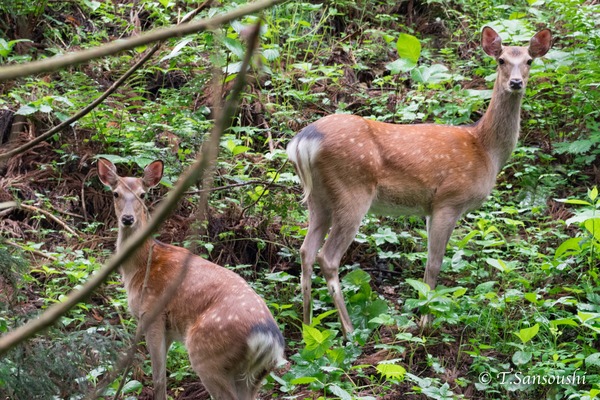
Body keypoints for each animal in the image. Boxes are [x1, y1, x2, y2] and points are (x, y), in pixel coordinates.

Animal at [96, 158, 286, 400]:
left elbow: (159, 379)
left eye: (142, 194)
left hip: (206, 355)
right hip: (256, 375)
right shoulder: (168, 330)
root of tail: (268, 340)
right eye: (116, 193)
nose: (127, 219)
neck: (140, 266)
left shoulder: (152, 314)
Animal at [286, 26, 552, 336]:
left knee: (305, 251)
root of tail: (302, 143)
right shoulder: (449, 200)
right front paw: (426, 320)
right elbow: (435, 262)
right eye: (501, 60)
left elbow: (428, 261)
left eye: (529, 61)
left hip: (319, 198)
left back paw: (307, 328)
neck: (485, 150)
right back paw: (350, 330)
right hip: (352, 190)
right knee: (327, 257)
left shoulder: (429, 208)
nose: (516, 82)